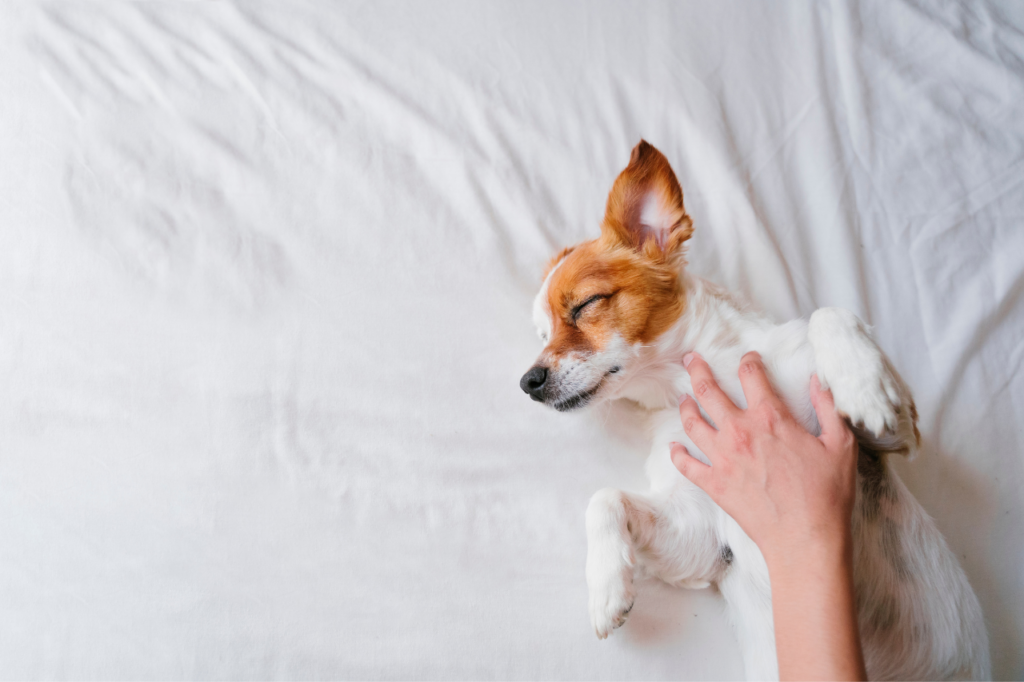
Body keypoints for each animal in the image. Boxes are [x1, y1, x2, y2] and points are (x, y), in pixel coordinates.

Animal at [520, 140, 991, 675]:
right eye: (542, 336)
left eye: (585, 305)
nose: (528, 382)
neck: (694, 380)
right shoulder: (706, 538)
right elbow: (604, 497)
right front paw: (605, 588)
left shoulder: (890, 438)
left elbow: (829, 314)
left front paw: (863, 387)